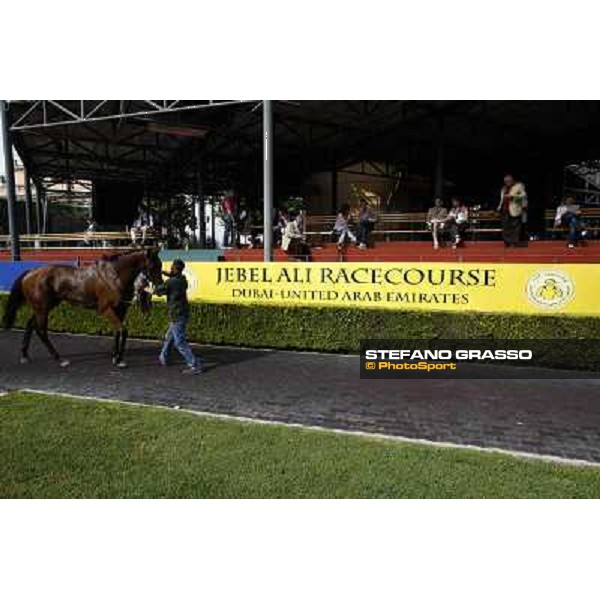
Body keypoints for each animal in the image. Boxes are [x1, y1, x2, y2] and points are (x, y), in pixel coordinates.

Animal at [1, 247, 164, 366]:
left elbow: (118, 331)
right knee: (41, 331)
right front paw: (118, 359)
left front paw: (115, 355)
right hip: (42, 308)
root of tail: (30, 273)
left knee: (30, 325)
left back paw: (24, 355)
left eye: (161, 264)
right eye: (153, 265)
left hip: (44, 307)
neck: (114, 275)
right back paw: (59, 359)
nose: (160, 286)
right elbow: (123, 330)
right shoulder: (106, 309)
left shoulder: (121, 309)